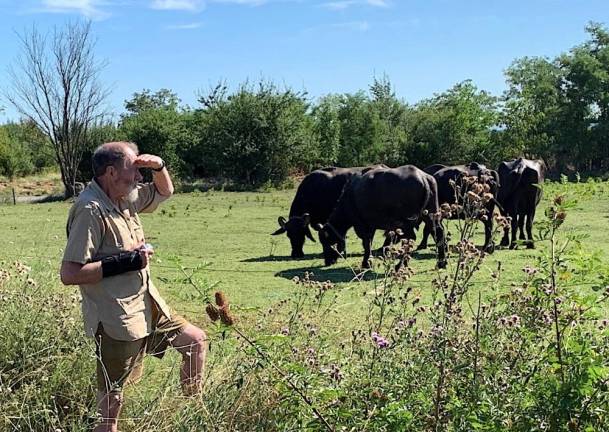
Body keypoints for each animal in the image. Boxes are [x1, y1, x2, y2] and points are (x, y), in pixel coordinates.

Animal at [312, 165, 444, 270]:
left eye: (327, 242)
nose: (328, 261)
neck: (350, 197)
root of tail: (423, 178)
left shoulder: (361, 224)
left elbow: (366, 242)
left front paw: (366, 262)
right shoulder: (371, 225)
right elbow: (369, 241)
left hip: (406, 222)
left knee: (411, 238)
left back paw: (400, 265)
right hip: (431, 214)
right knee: (438, 231)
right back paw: (441, 262)